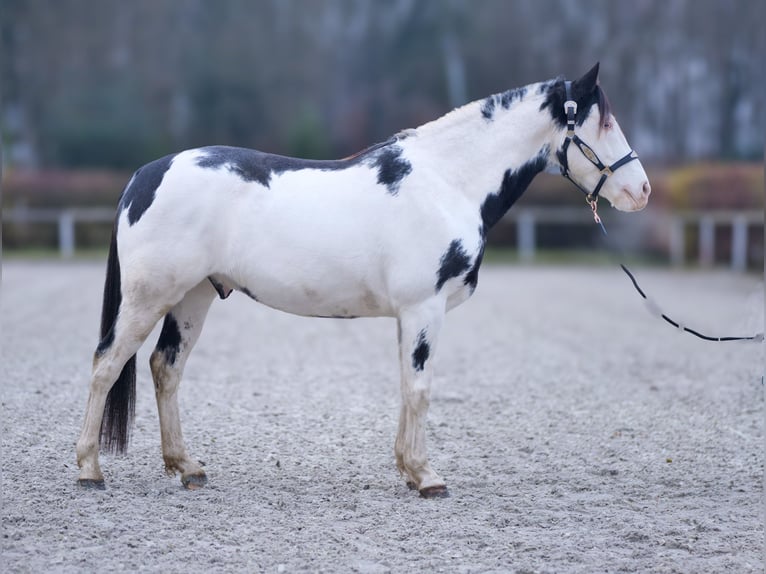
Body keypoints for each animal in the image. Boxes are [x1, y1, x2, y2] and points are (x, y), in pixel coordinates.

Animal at [78, 64, 652, 500]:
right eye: (603, 123)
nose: (642, 190)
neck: (447, 182)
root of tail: (145, 176)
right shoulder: (424, 309)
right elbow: (419, 388)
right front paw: (427, 478)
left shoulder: (411, 315)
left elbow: (406, 387)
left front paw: (409, 470)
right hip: (150, 297)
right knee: (107, 364)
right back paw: (90, 470)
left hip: (194, 297)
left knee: (164, 368)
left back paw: (187, 467)